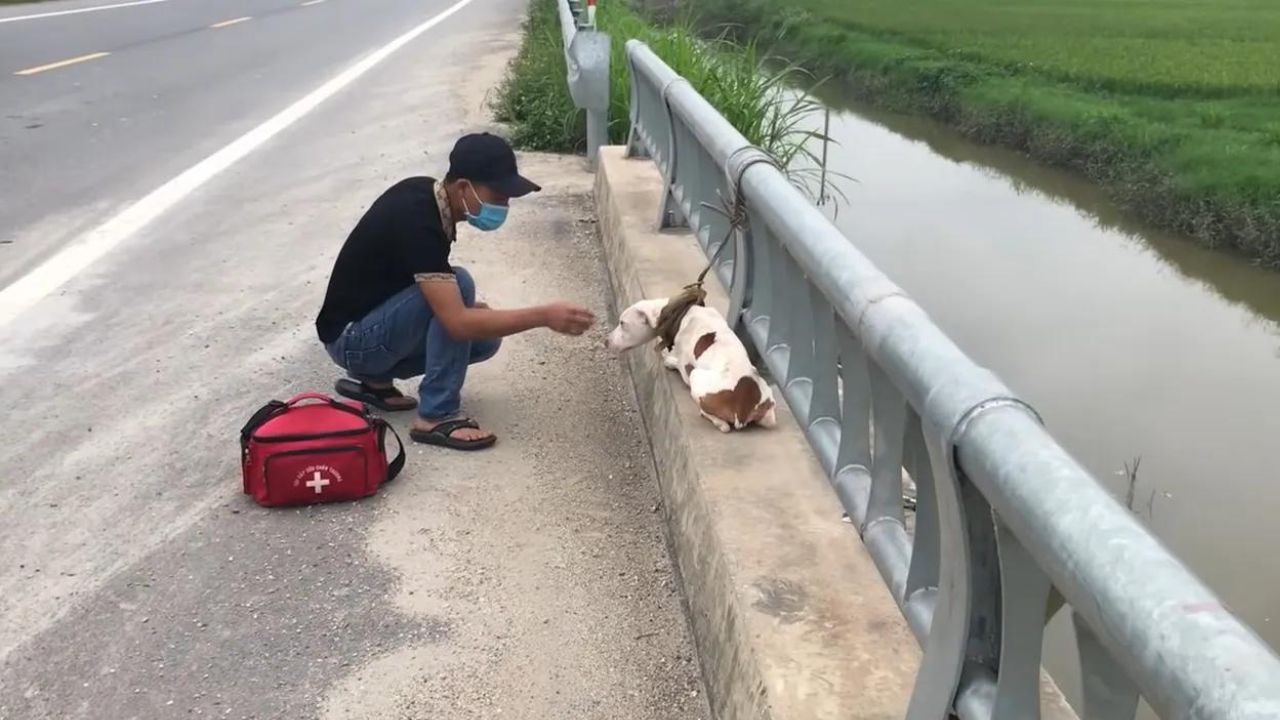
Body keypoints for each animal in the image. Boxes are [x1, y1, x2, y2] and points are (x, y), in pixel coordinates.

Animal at [604, 297, 773, 430]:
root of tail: (743, 407)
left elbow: (677, 363)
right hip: (769, 405)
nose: (605, 341)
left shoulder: (685, 369)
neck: (679, 313)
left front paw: (669, 359)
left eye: (622, 323)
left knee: (722, 424)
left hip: (696, 375)